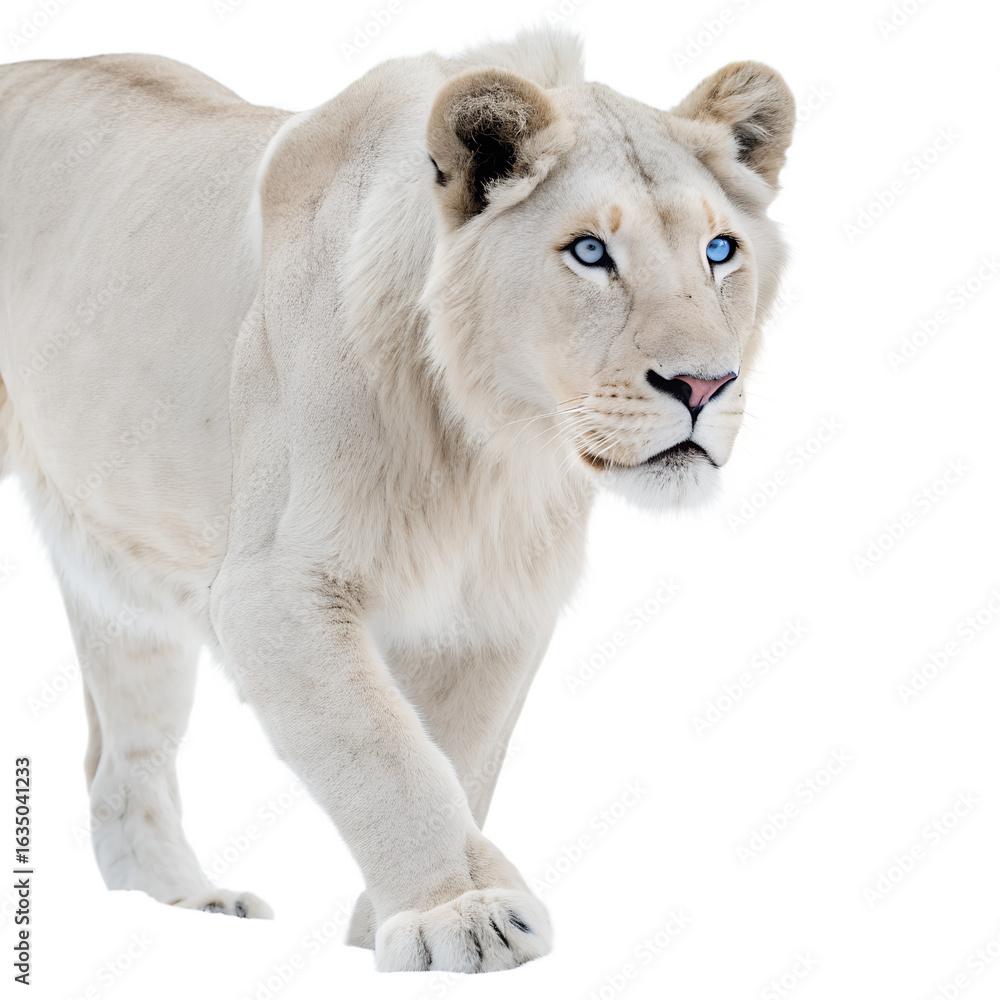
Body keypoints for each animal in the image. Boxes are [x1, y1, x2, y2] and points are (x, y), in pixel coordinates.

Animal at [0, 28, 793, 972]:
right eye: (591, 253)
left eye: (720, 251)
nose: (704, 385)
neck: (491, 445)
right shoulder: (272, 588)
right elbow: (384, 750)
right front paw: (464, 915)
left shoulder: (495, 607)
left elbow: (458, 750)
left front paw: (389, 918)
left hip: (127, 575)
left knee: (123, 758)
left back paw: (194, 905)